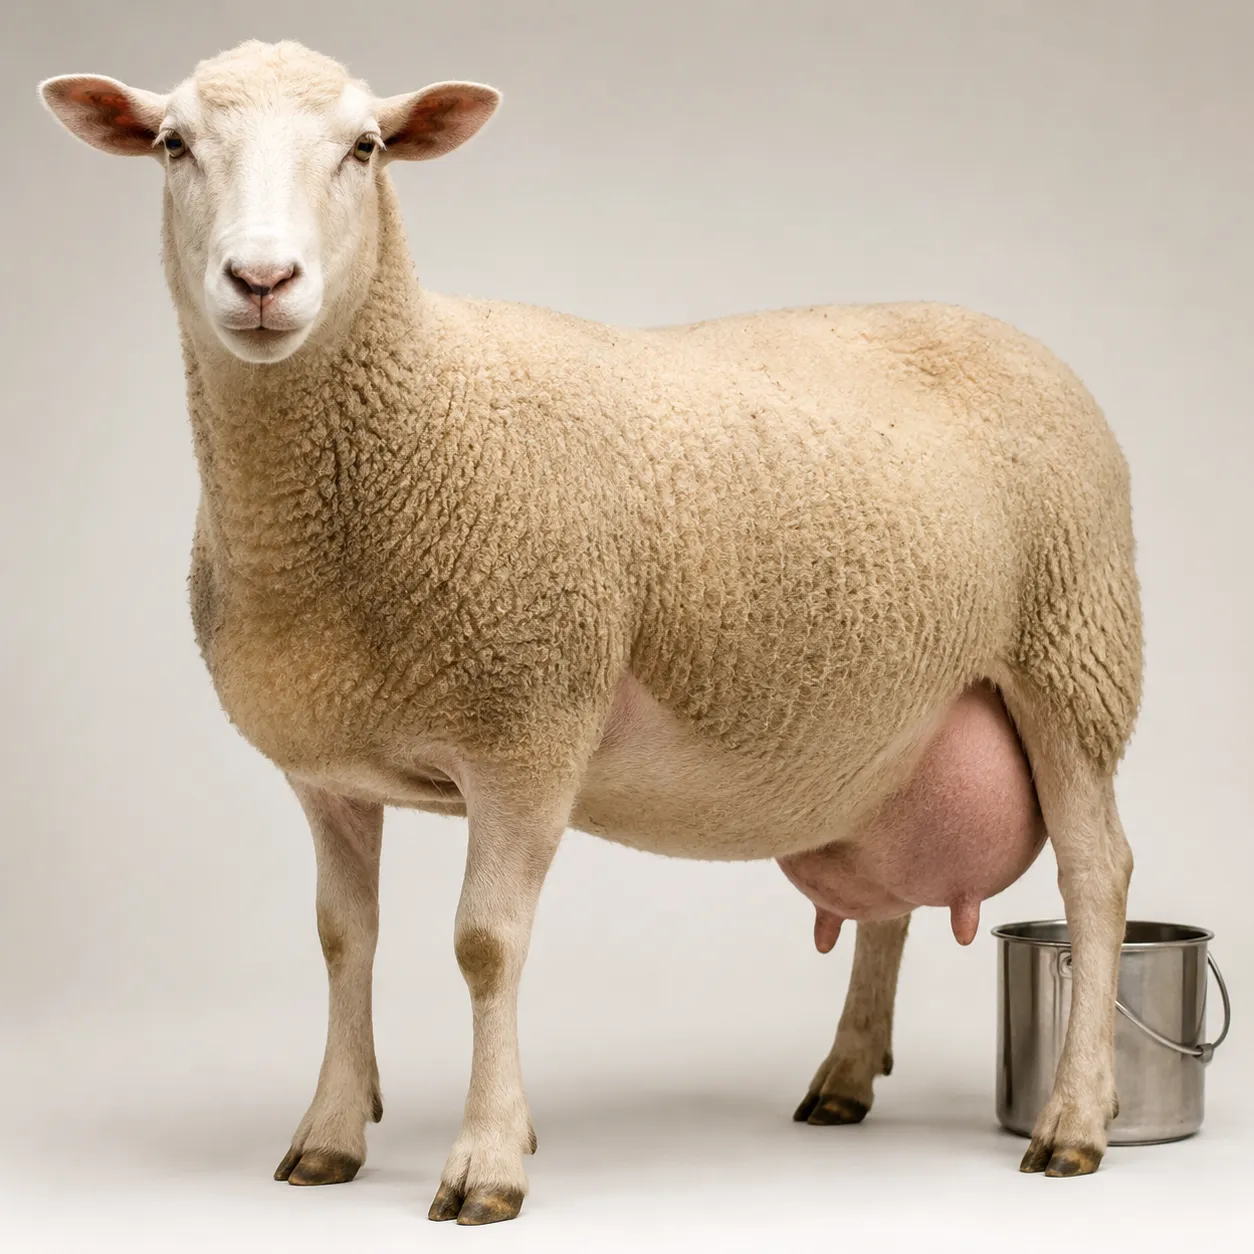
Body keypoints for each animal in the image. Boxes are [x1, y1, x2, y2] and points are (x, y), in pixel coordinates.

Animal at [39, 39, 1142, 1225]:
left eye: (365, 148)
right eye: (172, 144)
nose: (261, 281)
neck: (419, 409)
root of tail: (1008, 331)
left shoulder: (527, 725)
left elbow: (485, 945)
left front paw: (485, 1163)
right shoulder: (326, 769)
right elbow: (344, 941)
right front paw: (331, 1134)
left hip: (1075, 658)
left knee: (1098, 880)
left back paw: (1075, 1123)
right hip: (892, 727)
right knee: (891, 897)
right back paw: (846, 1077)